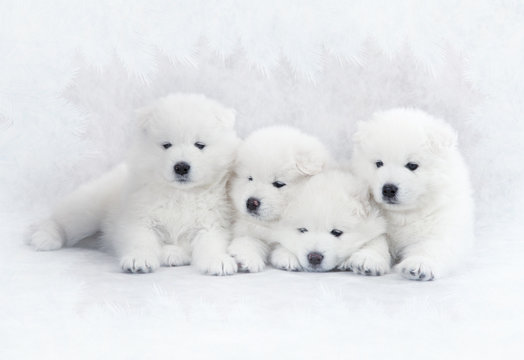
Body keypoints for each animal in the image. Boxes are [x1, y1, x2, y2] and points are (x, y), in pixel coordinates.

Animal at [28, 93, 239, 276]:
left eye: (200, 145)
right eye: (166, 145)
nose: (181, 167)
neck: (180, 194)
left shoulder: (213, 222)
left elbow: (211, 242)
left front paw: (217, 260)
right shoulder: (139, 217)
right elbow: (141, 239)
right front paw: (139, 259)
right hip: (88, 210)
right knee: (59, 220)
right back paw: (44, 237)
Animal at [228, 125, 332, 272]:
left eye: (278, 184)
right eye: (250, 178)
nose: (251, 202)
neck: (273, 223)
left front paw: (287, 257)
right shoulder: (245, 225)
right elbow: (248, 239)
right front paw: (248, 258)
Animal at [352, 108, 474, 280]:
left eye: (412, 165)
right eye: (379, 163)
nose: (388, 189)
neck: (402, 215)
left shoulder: (442, 222)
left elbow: (431, 246)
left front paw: (420, 264)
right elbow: (375, 239)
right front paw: (368, 259)